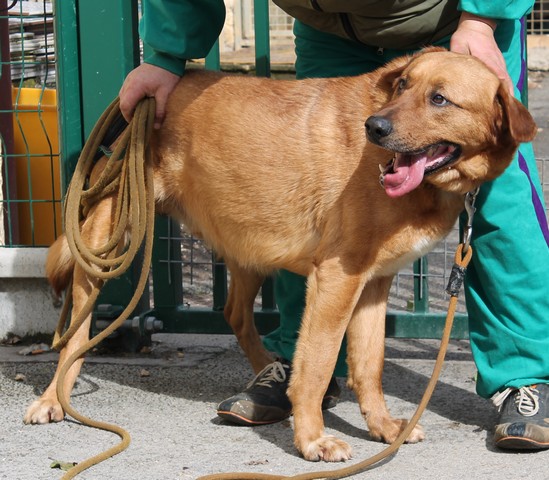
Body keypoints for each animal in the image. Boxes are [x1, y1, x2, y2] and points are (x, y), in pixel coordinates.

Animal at [24, 47, 536, 462]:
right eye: (403, 85)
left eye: (440, 99)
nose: (375, 127)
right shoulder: (337, 279)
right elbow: (317, 365)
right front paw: (312, 439)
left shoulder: (372, 285)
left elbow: (367, 366)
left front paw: (383, 426)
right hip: (105, 245)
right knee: (75, 334)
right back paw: (51, 400)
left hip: (250, 245)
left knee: (233, 312)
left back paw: (267, 376)